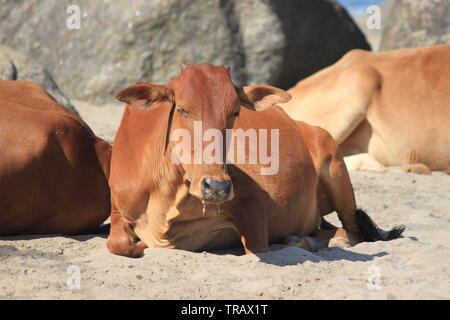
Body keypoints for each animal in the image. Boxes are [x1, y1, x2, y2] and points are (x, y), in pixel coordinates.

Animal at [106, 62, 404, 258]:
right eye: (182, 108)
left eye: (235, 112)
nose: (216, 187)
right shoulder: (118, 209)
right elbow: (118, 244)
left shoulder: (254, 202)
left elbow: (256, 247)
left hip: (337, 171)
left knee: (350, 233)